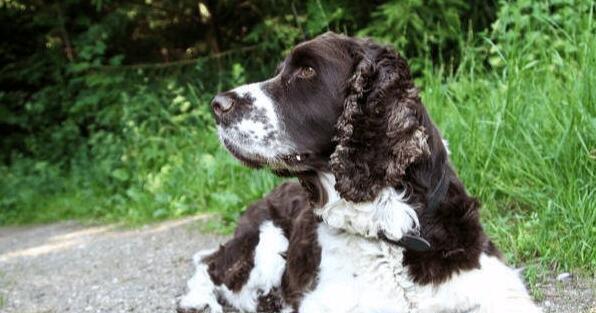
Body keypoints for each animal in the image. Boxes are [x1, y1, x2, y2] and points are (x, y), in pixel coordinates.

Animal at [176, 31, 540, 312]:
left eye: (306, 71)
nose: (217, 105)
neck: (389, 227)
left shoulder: (495, 284)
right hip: (263, 241)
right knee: (213, 266)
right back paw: (198, 301)